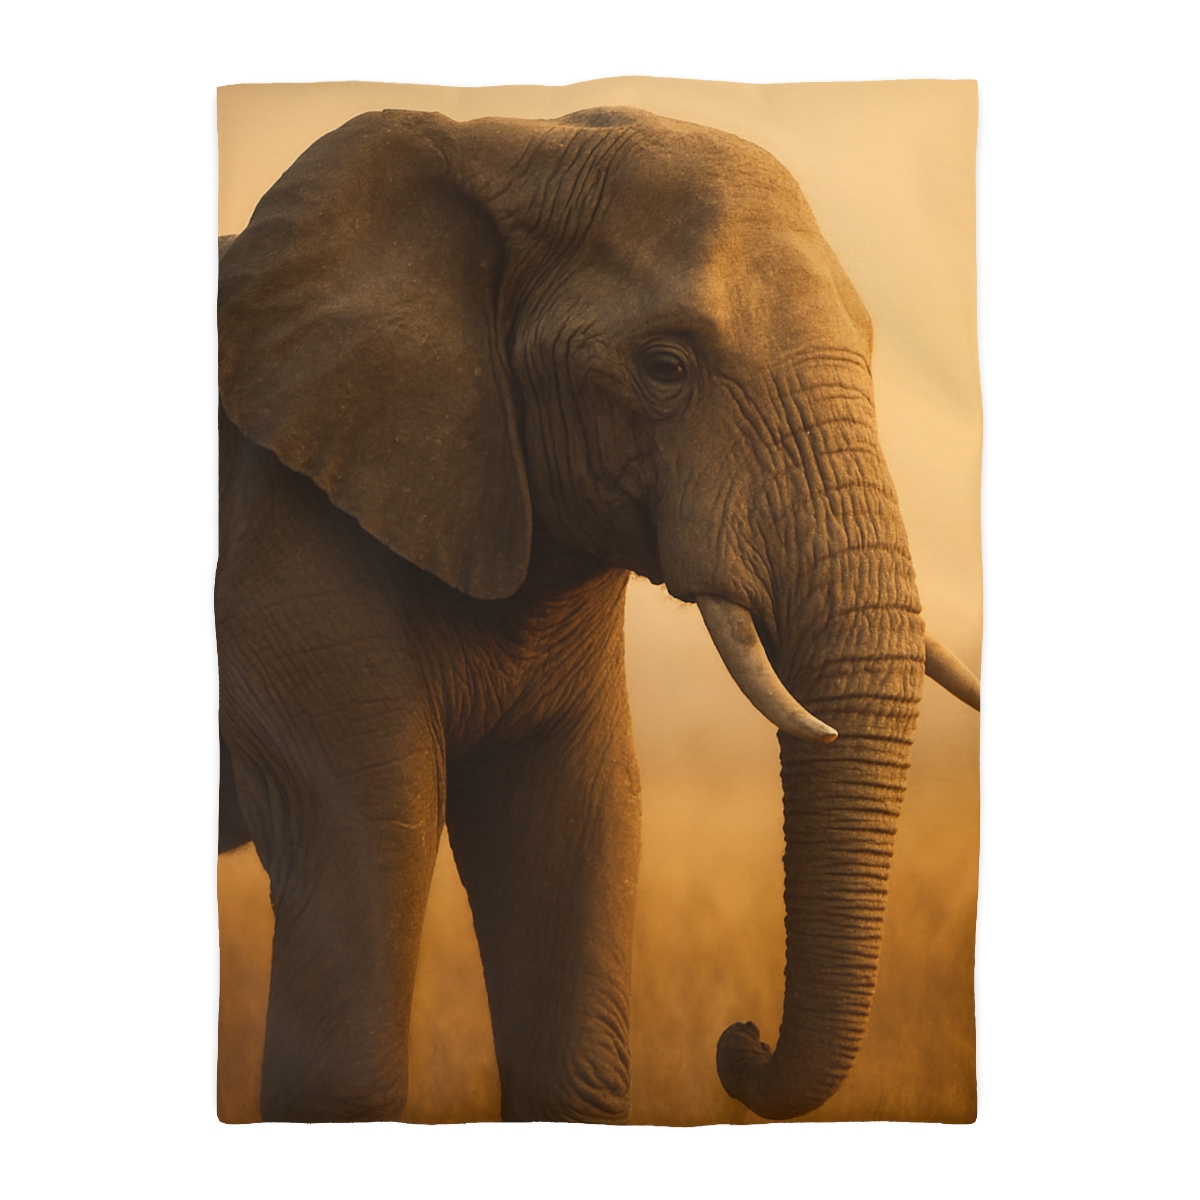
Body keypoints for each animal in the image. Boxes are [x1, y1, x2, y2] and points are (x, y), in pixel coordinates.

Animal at [216, 105, 981, 1124]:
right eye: (665, 367)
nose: (739, 1038)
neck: (503, 143)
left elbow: (574, 839)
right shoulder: (282, 540)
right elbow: (363, 848)